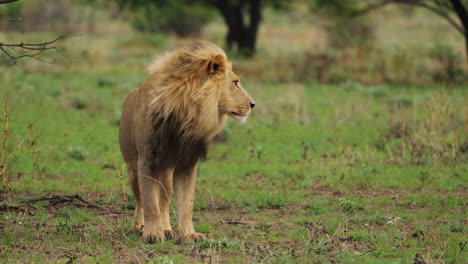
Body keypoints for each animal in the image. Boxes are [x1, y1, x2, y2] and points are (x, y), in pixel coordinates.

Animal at [119, 41, 254, 243]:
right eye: (236, 82)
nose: (253, 104)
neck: (188, 111)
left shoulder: (187, 163)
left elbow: (186, 203)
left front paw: (188, 234)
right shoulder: (147, 161)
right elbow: (150, 203)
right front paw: (151, 234)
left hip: (166, 173)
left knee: (164, 202)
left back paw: (167, 229)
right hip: (132, 170)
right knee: (140, 200)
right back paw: (137, 227)